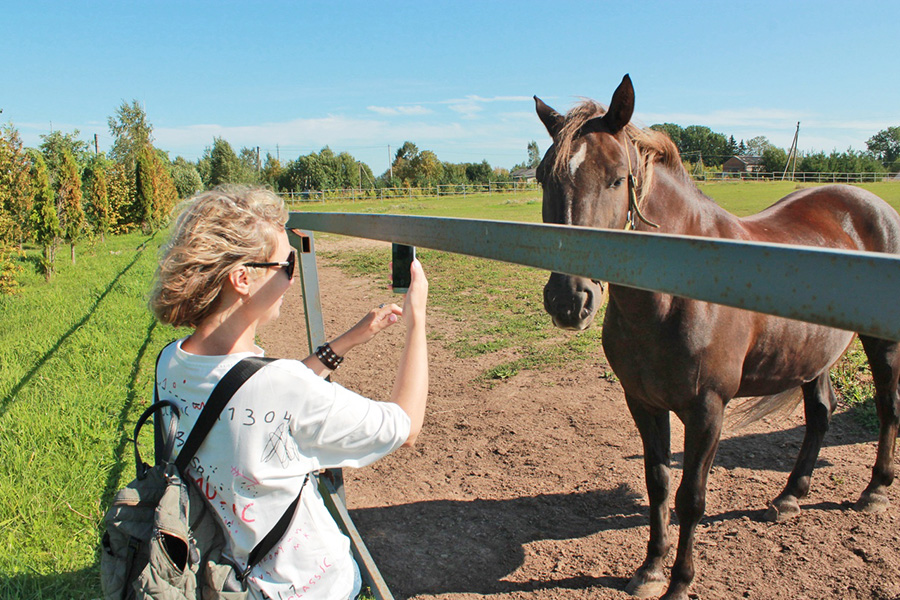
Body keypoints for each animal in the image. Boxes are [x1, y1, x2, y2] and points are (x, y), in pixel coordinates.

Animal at [534, 75, 900, 600]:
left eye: (617, 178)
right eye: (544, 178)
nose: (569, 299)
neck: (677, 295)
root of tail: (871, 204)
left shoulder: (708, 409)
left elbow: (691, 497)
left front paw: (679, 581)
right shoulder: (643, 402)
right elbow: (658, 484)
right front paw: (650, 568)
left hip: (881, 343)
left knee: (888, 406)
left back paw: (874, 491)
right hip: (812, 356)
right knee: (820, 414)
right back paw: (790, 496)